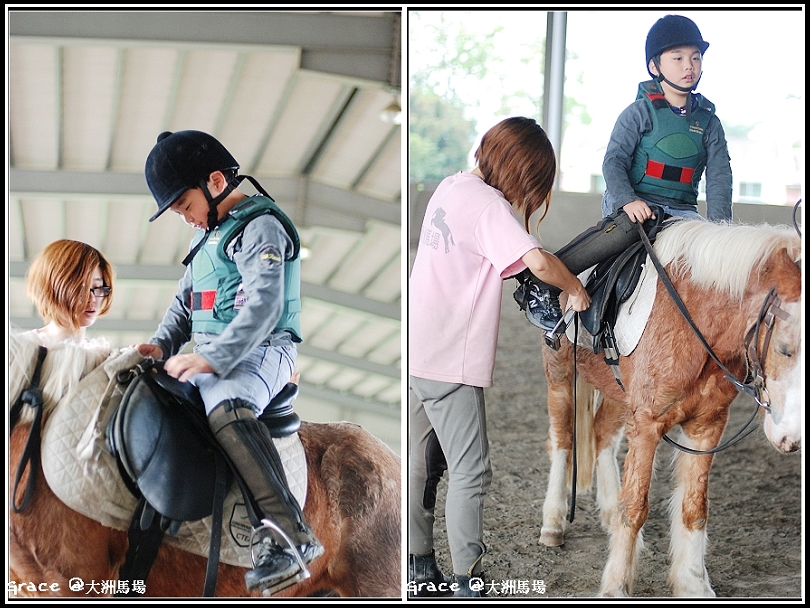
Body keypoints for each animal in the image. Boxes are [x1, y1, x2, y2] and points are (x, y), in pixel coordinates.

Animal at [536, 216, 800, 596]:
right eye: (784, 349)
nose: (790, 438)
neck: (697, 322)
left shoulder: (706, 425)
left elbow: (694, 506)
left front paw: (693, 583)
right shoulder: (648, 423)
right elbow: (635, 506)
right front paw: (616, 586)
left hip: (618, 394)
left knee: (602, 434)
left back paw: (607, 513)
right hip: (559, 375)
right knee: (562, 441)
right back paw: (553, 523)